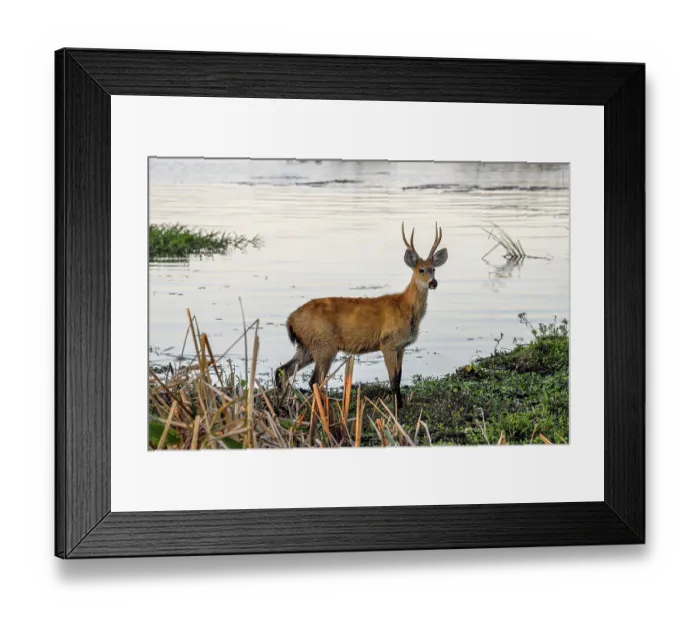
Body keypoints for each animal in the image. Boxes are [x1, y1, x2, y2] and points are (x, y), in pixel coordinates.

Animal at [275, 222, 448, 409]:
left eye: (434, 269)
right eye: (421, 270)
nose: (433, 282)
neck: (405, 307)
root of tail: (290, 320)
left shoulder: (401, 346)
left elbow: (400, 377)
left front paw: (400, 405)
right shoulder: (387, 343)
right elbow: (393, 380)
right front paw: (396, 408)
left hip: (307, 346)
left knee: (283, 371)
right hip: (324, 345)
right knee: (314, 380)